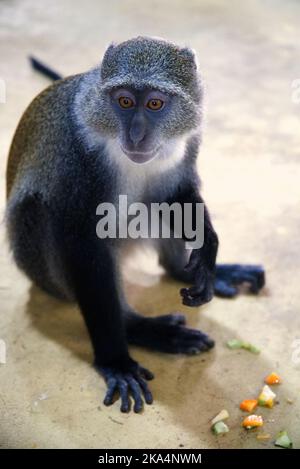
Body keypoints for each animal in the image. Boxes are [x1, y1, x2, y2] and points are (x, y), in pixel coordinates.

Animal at [5, 36, 264, 412]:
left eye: (155, 103)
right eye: (124, 101)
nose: (137, 135)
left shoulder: (189, 140)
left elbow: (175, 193)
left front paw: (209, 249)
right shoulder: (74, 160)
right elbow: (83, 245)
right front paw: (116, 361)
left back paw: (188, 272)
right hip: (42, 266)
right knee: (41, 211)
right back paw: (139, 327)